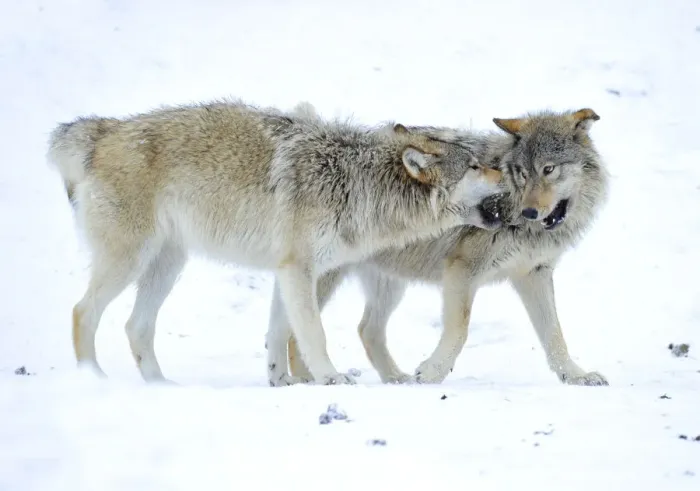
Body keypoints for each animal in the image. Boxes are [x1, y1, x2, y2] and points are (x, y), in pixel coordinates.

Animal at [47, 98, 506, 385]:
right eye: (476, 166)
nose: (507, 169)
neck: (355, 183)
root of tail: (105, 130)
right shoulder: (298, 269)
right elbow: (312, 333)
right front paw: (330, 377)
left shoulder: (288, 271)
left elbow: (279, 331)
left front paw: (280, 380)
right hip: (130, 260)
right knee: (81, 312)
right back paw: (93, 380)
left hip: (168, 265)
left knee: (135, 326)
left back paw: (161, 386)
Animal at [269, 105, 610, 386]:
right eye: (522, 173)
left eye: (549, 169)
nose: (528, 212)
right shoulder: (461, 270)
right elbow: (460, 329)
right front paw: (433, 371)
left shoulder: (535, 273)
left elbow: (555, 335)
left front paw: (575, 375)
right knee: (297, 333)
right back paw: (311, 381)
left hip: (391, 284)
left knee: (367, 330)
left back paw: (396, 379)